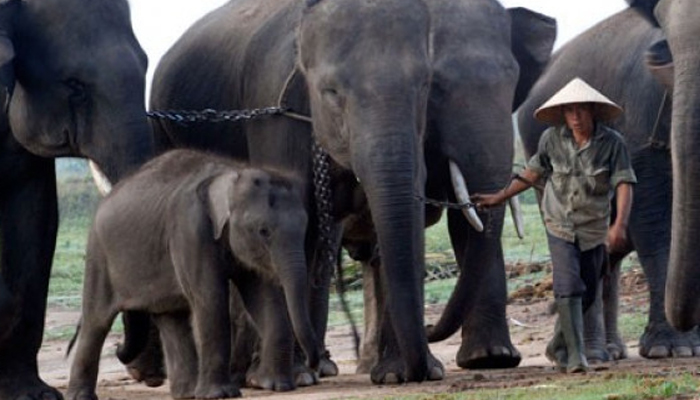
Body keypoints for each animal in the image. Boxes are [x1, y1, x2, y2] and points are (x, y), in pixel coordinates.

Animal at [65, 150, 318, 400]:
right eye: (263, 231)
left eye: (305, 227)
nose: (312, 363)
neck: (232, 173)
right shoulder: (190, 231)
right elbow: (211, 299)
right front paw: (220, 395)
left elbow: (264, 298)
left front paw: (278, 386)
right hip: (99, 255)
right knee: (97, 322)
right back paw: (80, 397)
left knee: (171, 317)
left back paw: (187, 393)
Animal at [150, 0, 556, 384]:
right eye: (331, 92)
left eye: (425, 86)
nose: (428, 330)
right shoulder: (274, 113)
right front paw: (300, 375)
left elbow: (418, 223)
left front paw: (411, 372)